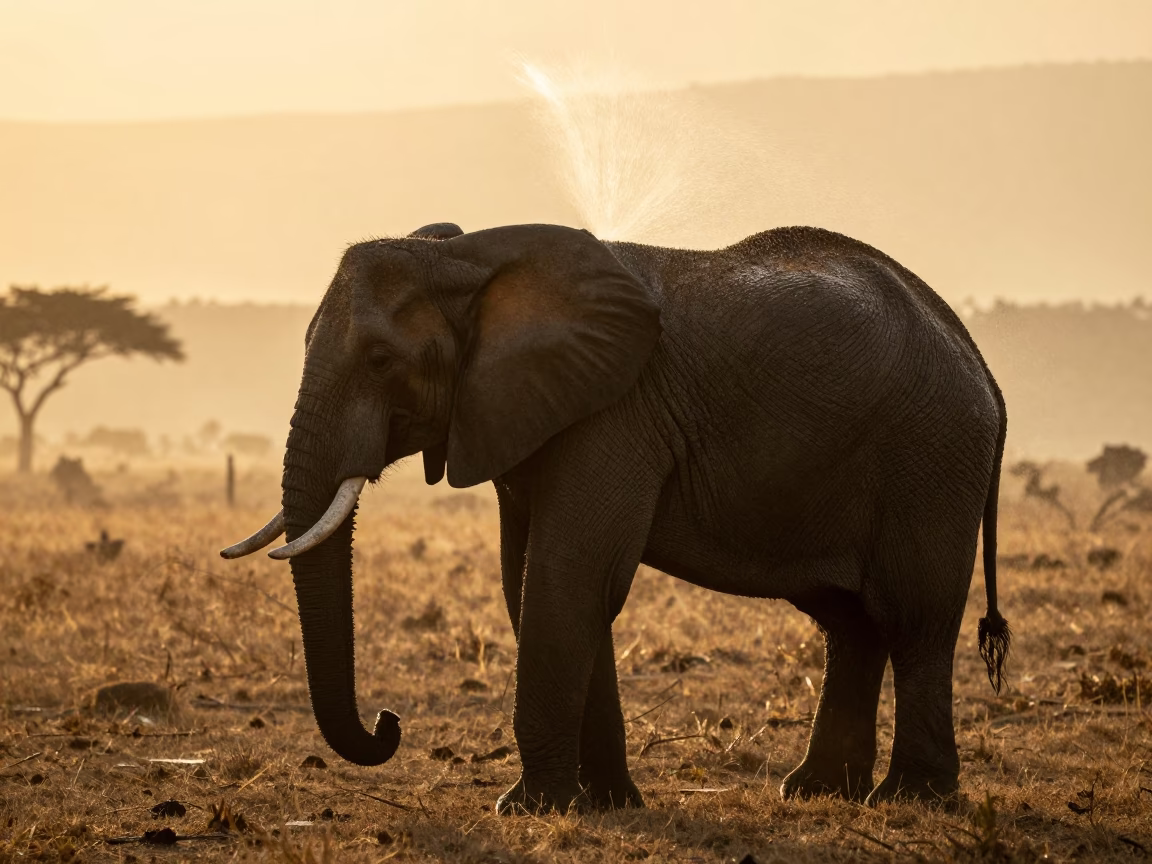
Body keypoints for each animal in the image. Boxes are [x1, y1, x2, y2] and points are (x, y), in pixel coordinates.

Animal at [222, 221, 1010, 812]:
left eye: (382, 360)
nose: (390, 721)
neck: (468, 257)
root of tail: (983, 368)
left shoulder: (613, 415)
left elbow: (568, 578)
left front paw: (527, 809)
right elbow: (535, 582)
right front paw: (603, 806)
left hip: (931, 458)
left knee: (912, 617)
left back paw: (909, 799)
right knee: (851, 623)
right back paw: (816, 793)